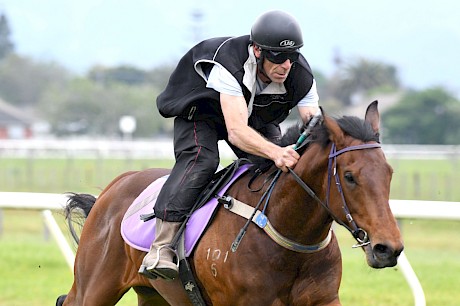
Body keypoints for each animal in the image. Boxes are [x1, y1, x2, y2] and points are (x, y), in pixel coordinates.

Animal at [56, 101, 402, 304]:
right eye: (350, 176)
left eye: (389, 173)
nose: (388, 248)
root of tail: (114, 187)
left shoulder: (324, 300)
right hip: (94, 287)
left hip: (154, 295)